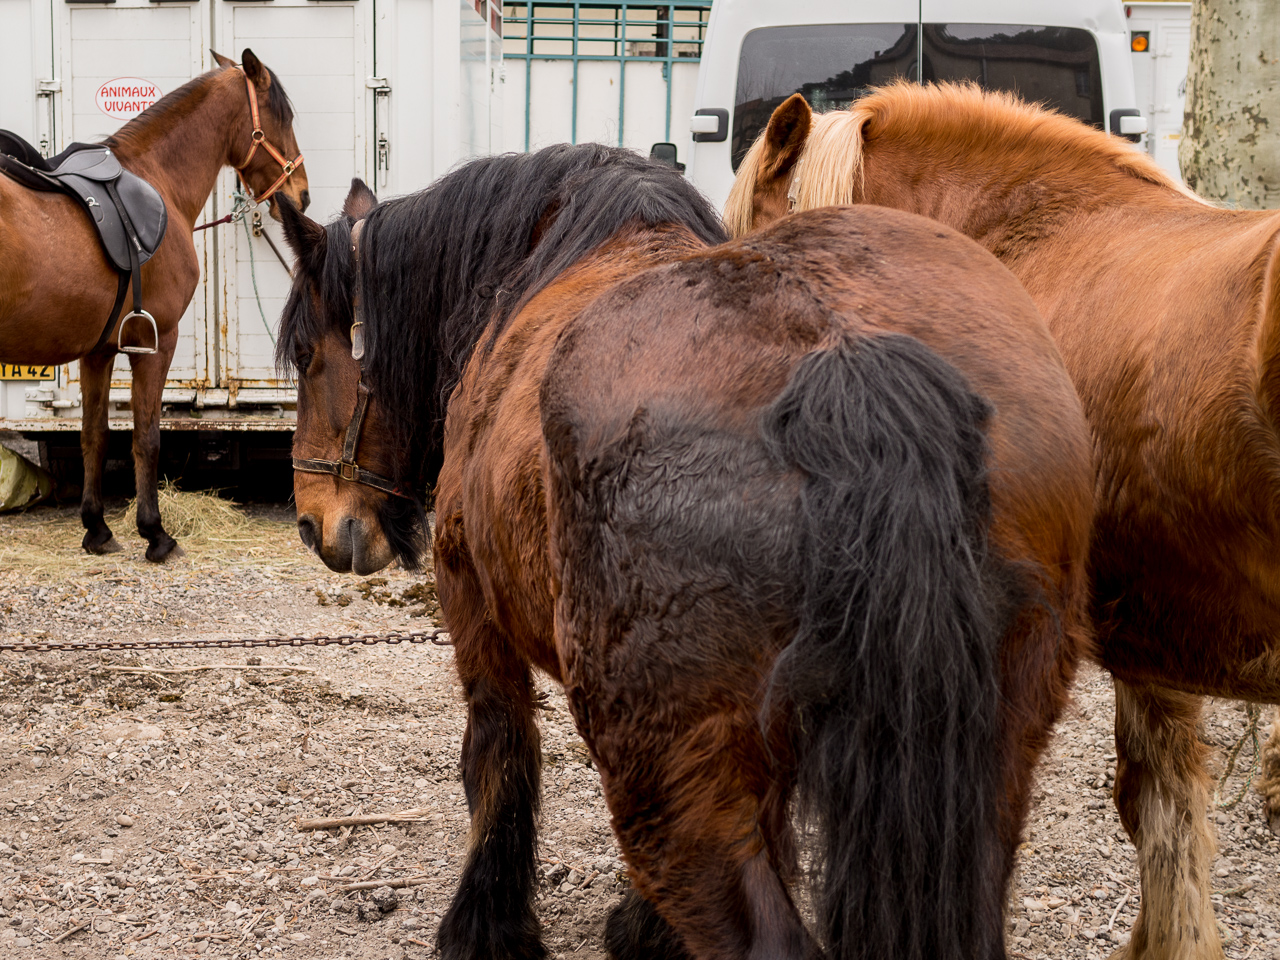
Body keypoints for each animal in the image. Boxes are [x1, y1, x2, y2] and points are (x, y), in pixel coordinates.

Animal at [0, 50, 307, 563]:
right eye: (281, 117)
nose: (300, 194)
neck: (156, 178)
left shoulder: (98, 351)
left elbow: (95, 435)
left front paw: (97, 528)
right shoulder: (156, 341)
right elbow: (146, 436)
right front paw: (155, 533)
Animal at [277, 148, 1090, 960]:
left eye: (308, 355)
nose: (314, 523)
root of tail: (843, 357)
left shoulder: (473, 607)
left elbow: (498, 758)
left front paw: (487, 925)